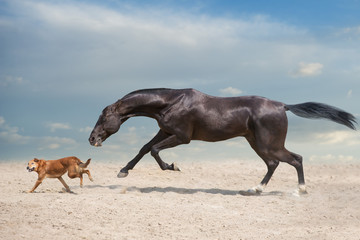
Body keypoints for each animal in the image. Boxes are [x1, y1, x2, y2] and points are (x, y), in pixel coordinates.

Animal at [88, 88, 356, 195]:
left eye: (104, 116)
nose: (91, 139)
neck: (171, 102)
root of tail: (283, 106)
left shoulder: (182, 137)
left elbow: (153, 150)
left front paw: (173, 167)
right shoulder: (165, 131)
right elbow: (144, 148)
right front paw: (123, 171)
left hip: (268, 144)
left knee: (294, 159)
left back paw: (299, 190)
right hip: (257, 143)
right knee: (274, 164)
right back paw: (256, 189)